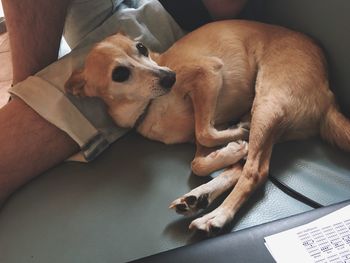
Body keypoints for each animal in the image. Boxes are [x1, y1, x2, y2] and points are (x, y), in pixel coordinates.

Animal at [65, 20, 350, 235]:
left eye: (142, 47)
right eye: (120, 74)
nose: (170, 77)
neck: (149, 106)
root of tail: (329, 98)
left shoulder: (208, 74)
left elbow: (205, 134)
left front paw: (236, 140)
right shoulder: (209, 128)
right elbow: (199, 161)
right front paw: (230, 149)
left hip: (268, 104)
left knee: (255, 172)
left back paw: (217, 215)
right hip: (269, 121)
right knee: (244, 167)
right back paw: (199, 197)